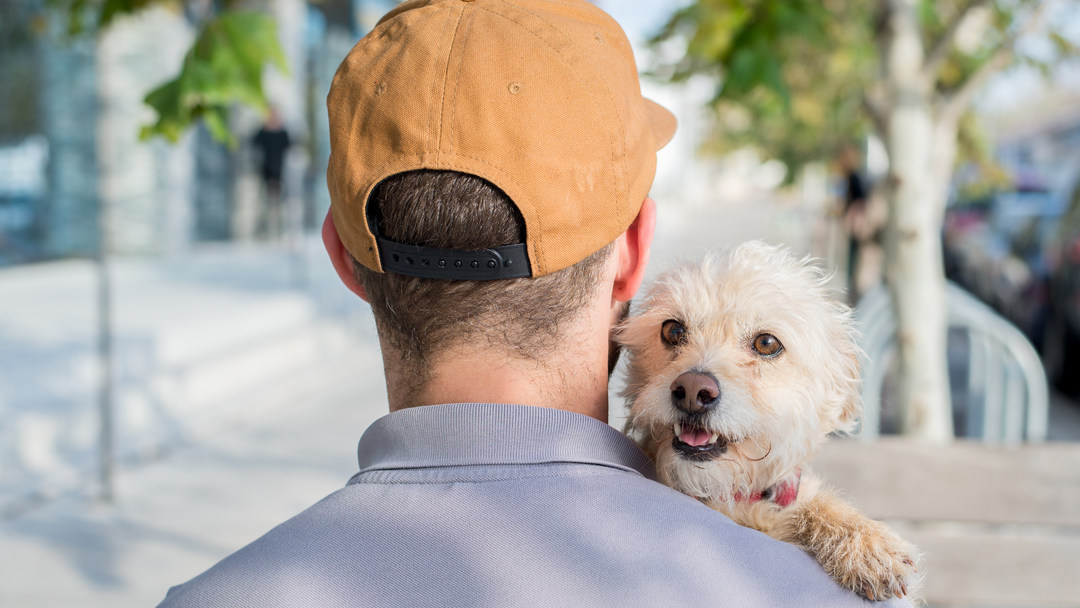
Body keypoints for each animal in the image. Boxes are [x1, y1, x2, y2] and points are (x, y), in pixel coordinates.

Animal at [617, 240, 920, 600]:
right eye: (673, 330)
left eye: (766, 343)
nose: (692, 391)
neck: (728, 496)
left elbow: (810, 503)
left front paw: (864, 538)